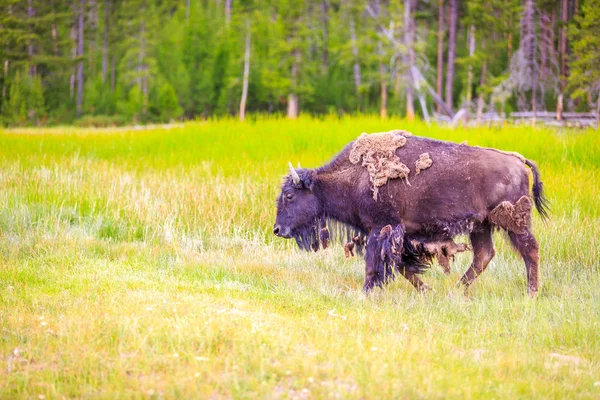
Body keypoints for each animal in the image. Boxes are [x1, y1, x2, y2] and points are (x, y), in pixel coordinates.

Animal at [274, 130, 552, 296]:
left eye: (289, 196)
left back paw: (531, 293)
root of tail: (519, 161)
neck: (354, 176)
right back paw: (456, 290)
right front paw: (425, 289)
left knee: (529, 250)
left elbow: (375, 264)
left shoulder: (382, 229)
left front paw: (366, 292)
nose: (277, 229)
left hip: (514, 222)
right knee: (484, 254)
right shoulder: (400, 235)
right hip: (480, 225)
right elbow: (402, 267)